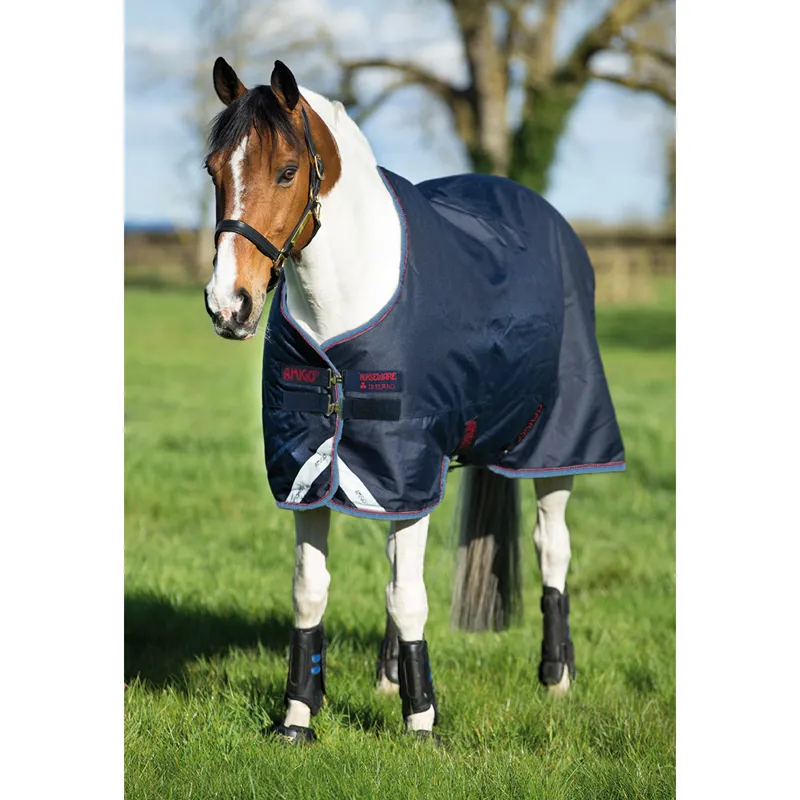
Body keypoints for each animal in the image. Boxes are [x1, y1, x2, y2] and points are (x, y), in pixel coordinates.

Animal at [203, 57, 625, 744]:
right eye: (213, 169)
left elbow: (409, 597)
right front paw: (298, 716)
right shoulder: (314, 474)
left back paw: (556, 676)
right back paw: (386, 676)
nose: (228, 305)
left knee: (551, 547)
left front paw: (422, 720)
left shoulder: (412, 468)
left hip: (557, 446)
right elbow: (311, 589)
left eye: (287, 171)